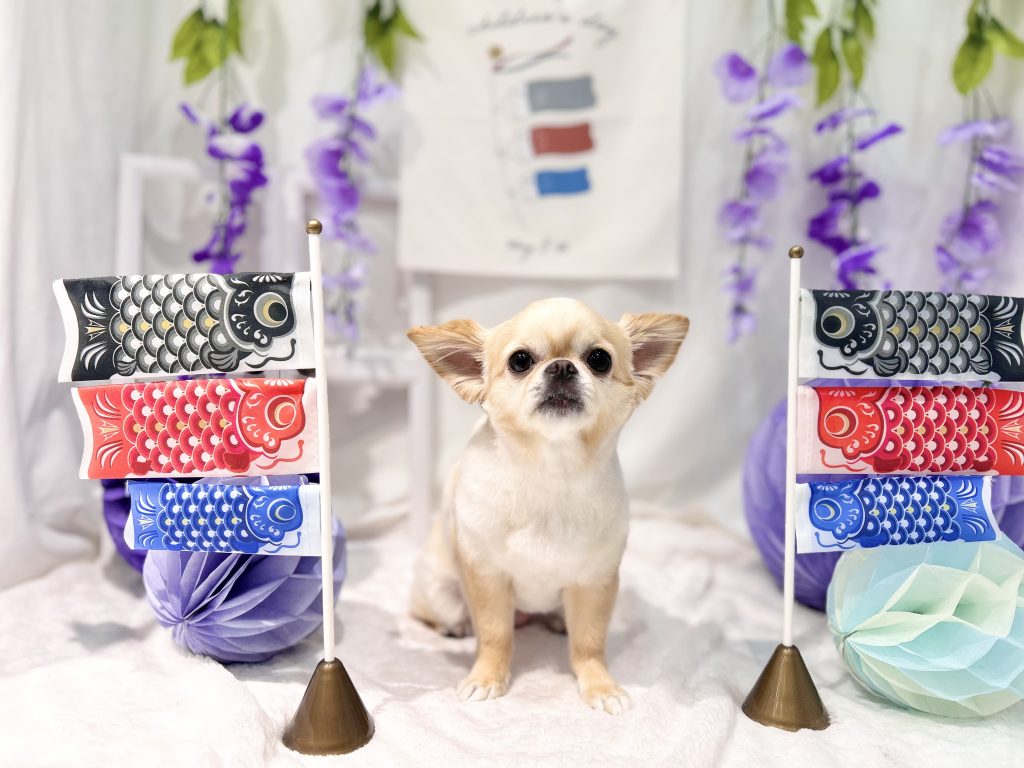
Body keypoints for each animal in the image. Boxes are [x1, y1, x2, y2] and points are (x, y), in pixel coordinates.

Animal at [406, 298, 689, 714]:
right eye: (520, 361)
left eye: (599, 359)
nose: (561, 366)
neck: (552, 472)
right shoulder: (486, 576)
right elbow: (494, 636)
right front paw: (486, 678)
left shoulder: (594, 582)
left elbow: (589, 643)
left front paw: (600, 686)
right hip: (440, 592)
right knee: (436, 614)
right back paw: (455, 626)